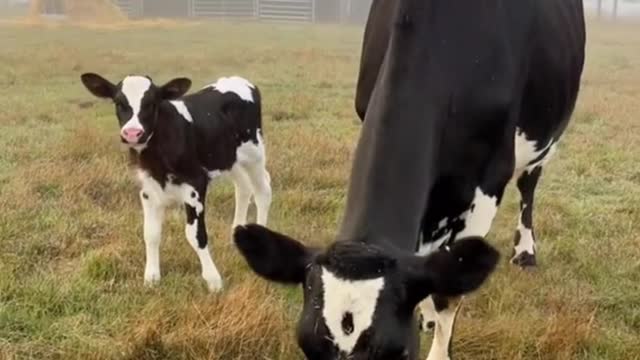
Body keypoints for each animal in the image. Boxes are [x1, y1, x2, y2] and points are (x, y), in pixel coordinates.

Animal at [81, 71, 272, 292]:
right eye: (119, 102)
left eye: (151, 103)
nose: (132, 133)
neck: (158, 157)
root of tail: (238, 79)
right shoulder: (148, 190)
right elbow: (151, 233)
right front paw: (151, 278)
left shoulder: (196, 185)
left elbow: (195, 235)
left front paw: (213, 280)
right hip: (229, 158)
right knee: (243, 187)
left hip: (254, 153)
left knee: (262, 191)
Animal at [232, 0, 584, 358]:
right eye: (307, 346)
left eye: (396, 352)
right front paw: (425, 311)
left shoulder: (488, 179)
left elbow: (449, 293)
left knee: (528, 184)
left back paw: (525, 252)